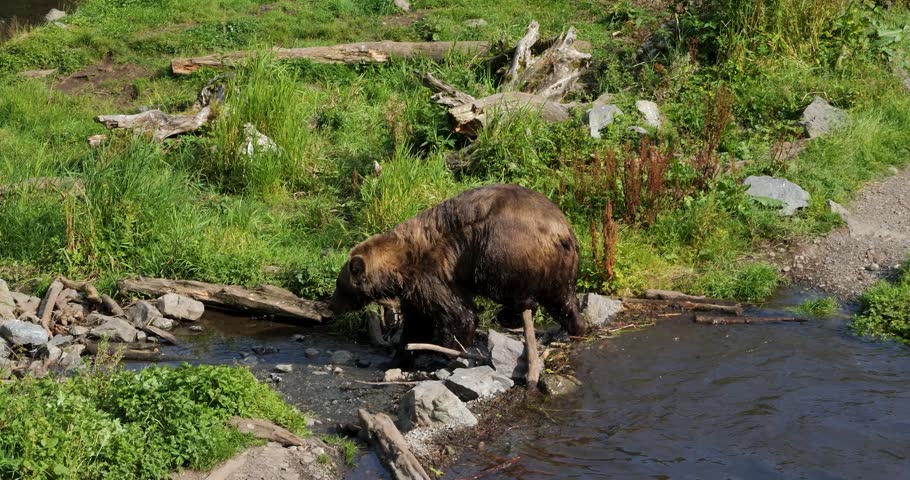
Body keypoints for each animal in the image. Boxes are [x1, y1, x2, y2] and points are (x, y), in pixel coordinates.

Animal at [330, 184, 586, 351]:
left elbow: (457, 313)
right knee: (564, 295)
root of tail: (563, 231)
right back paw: (573, 326)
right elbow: (417, 319)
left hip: (500, 249)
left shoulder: (431, 273)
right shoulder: (417, 287)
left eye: (339, 285)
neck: (398, 265)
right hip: (562, 264)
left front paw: (449, 346)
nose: (332, 306)